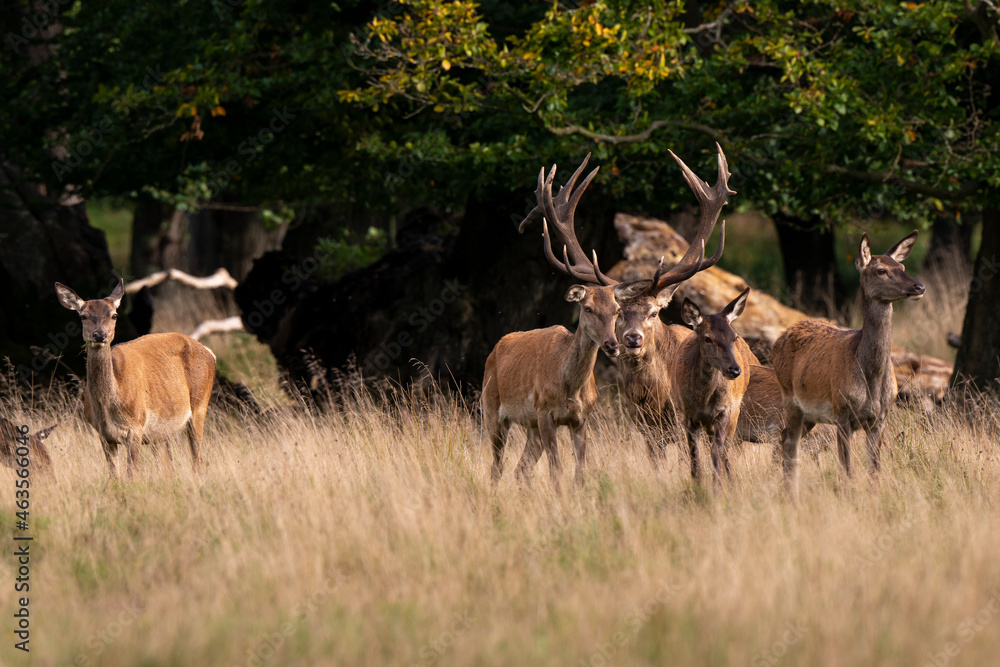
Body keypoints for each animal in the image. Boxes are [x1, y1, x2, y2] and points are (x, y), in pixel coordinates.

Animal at [54, 279, 217, 478]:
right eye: (83, 316)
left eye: (114, 315)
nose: (99, 334)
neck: (108, 407)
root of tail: (209, 352)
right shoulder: (103, 434)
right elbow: (114, 477)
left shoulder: (136, 427)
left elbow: (131, 475)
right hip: (161, 433)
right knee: (169, 469)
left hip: (200, 406)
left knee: (197, 460)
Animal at [676, 287, 755, 483]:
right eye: (707, 338)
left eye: (734, 337)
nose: (734, 370)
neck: (703, 401)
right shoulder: (687, 414)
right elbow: (694, 455)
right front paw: (697, 485)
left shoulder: (725, 410)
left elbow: (717, 452)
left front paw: (716, 486)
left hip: (736, 412)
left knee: (728, 450)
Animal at [771, 231, 925, 499]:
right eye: (881, 270)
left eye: (903, 267)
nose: (919, 287)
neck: (870, 378)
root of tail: (779, 339)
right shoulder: (842, 412)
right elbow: (847, 471)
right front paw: (846, 499)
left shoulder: (879, 418)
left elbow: (874, 471)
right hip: (789, 398)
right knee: (788, 443)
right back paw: (791, 496)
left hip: (809, 414)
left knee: (787, 441)